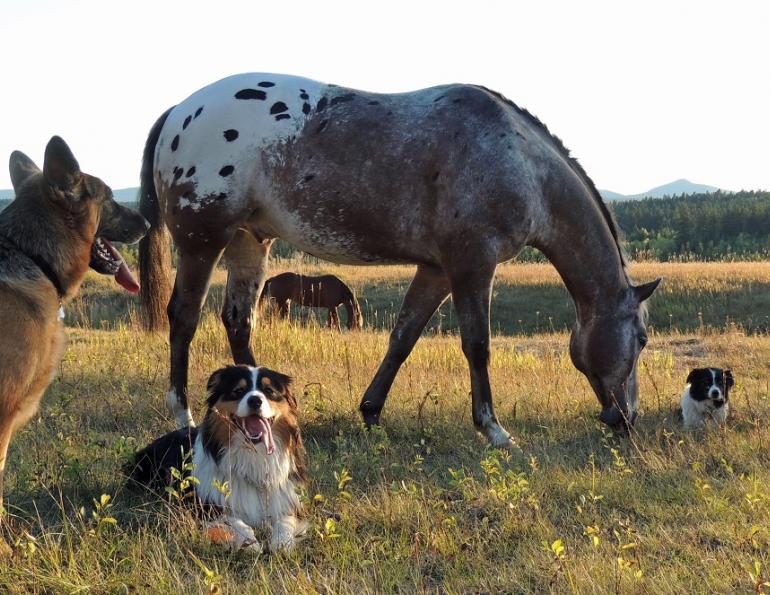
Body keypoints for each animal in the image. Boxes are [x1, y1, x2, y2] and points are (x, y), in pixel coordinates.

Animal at [138, 73, 660, 444]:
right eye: (642, 338)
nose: (626, 419)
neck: (520, 162)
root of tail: (179, 111)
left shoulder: (436, 269)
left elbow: (403, 338)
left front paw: (371, 410)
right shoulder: (472, 265)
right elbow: (477, 345)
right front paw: (492, 429)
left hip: (249, 241)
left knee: (238, 320)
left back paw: (269, 406)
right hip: (203, 242)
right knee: (183, 318)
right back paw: (183, 413)